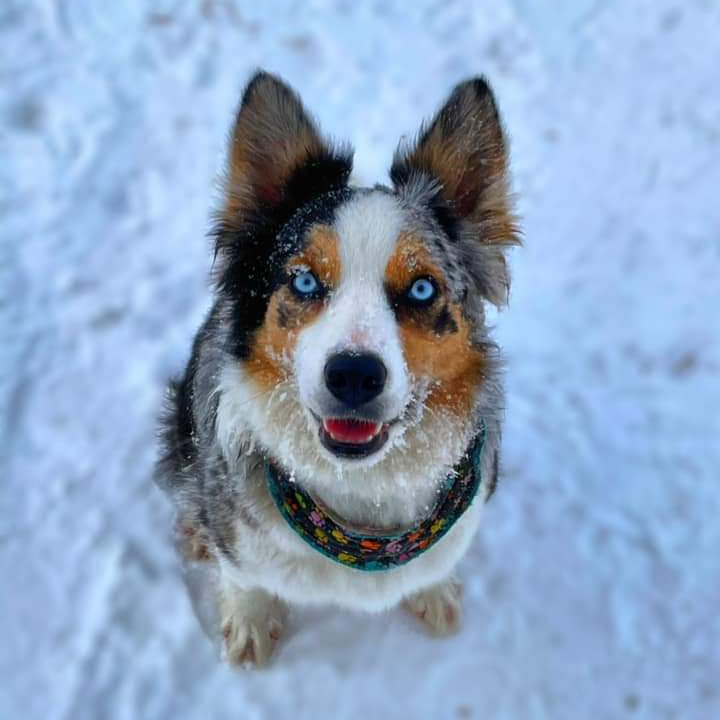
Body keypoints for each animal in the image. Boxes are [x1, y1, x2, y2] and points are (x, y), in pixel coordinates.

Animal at [156, 70, 516, 668]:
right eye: (304, 281)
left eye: (422, 289)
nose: (353, 375)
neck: (362, 514)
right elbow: (243, 574)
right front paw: (250, 624)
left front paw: (434, 591)